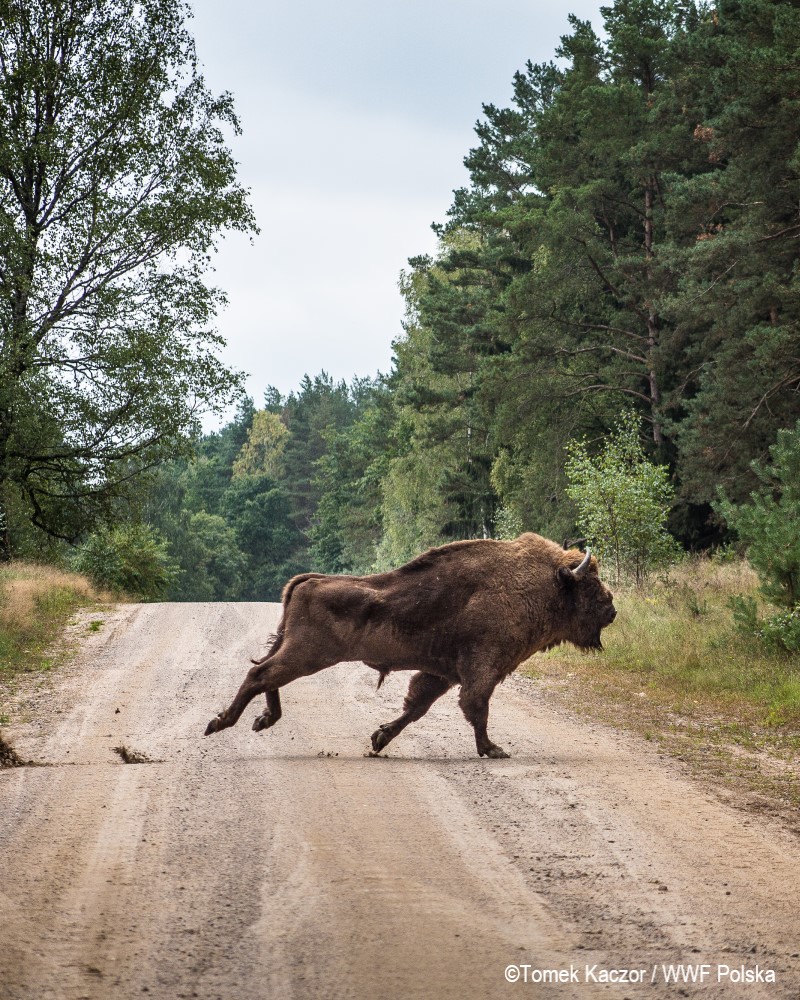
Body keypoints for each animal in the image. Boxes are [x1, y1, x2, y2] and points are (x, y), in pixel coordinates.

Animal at [203, 532, 616, 756]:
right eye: (590, 584)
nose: (612, 608)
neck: (543, 583)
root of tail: (308, 581)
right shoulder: (481, 670)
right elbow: (476, 708)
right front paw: (493, 749)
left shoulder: (444, 673)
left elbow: (417, 706)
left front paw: (379, 739)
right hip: (307, 654)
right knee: (260, 674)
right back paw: (221, 723)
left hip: (295, 650)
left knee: (265, 674)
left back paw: (261, 720)